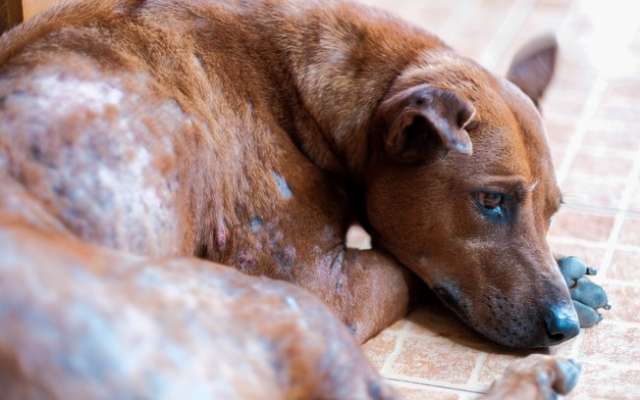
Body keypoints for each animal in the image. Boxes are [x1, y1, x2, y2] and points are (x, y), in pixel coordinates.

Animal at [0, 0, 608, 398]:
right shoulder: (324, 286)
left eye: (552, 212)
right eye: (489, 201)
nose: (564, 328)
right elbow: (401, 269)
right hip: (289, 309)